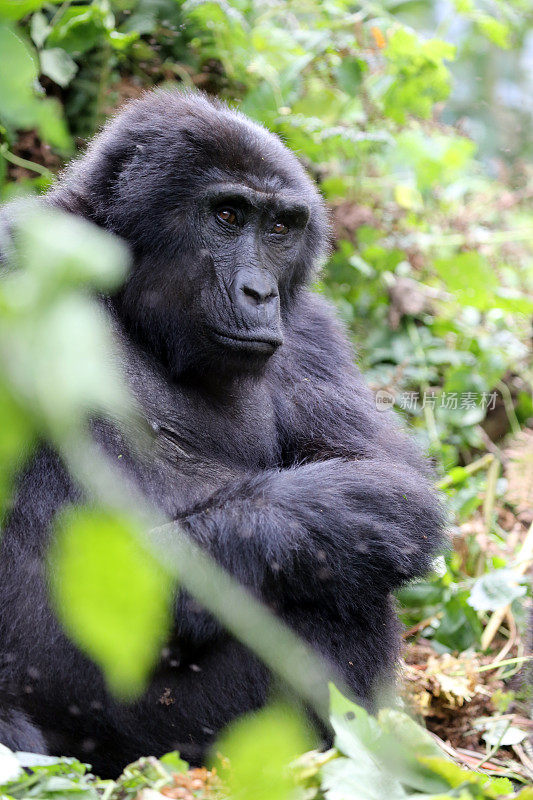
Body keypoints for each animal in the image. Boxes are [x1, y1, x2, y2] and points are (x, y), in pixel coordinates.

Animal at [0, 92, 444, 776]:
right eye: (228, 216)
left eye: (281, 229)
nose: (258, 292)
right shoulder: (16, 253)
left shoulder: (310, 328)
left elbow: (384, 480)